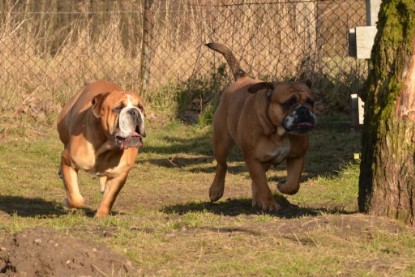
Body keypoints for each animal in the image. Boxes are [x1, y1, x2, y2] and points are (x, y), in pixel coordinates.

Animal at [57, 80, 145, 216]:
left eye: (140, 107)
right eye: (118, 108)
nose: (135, 112)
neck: (106, 146)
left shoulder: (119, 175)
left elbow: (109, 198)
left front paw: (101, 215)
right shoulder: (69, 162)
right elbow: (75, 197)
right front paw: (67, 203)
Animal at [206, 42, 316, 211]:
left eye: (311, 102)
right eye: (289, 103)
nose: (304, 110)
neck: (279, 132)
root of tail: (242, 77)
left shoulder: (297, 156)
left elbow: (292, 184)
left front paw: (282, 186)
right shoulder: (253, 159)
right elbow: (263, 184)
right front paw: (270, 204)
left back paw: (257, 199)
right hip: (222, 142)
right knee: (222, 165)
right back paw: (216, 191)